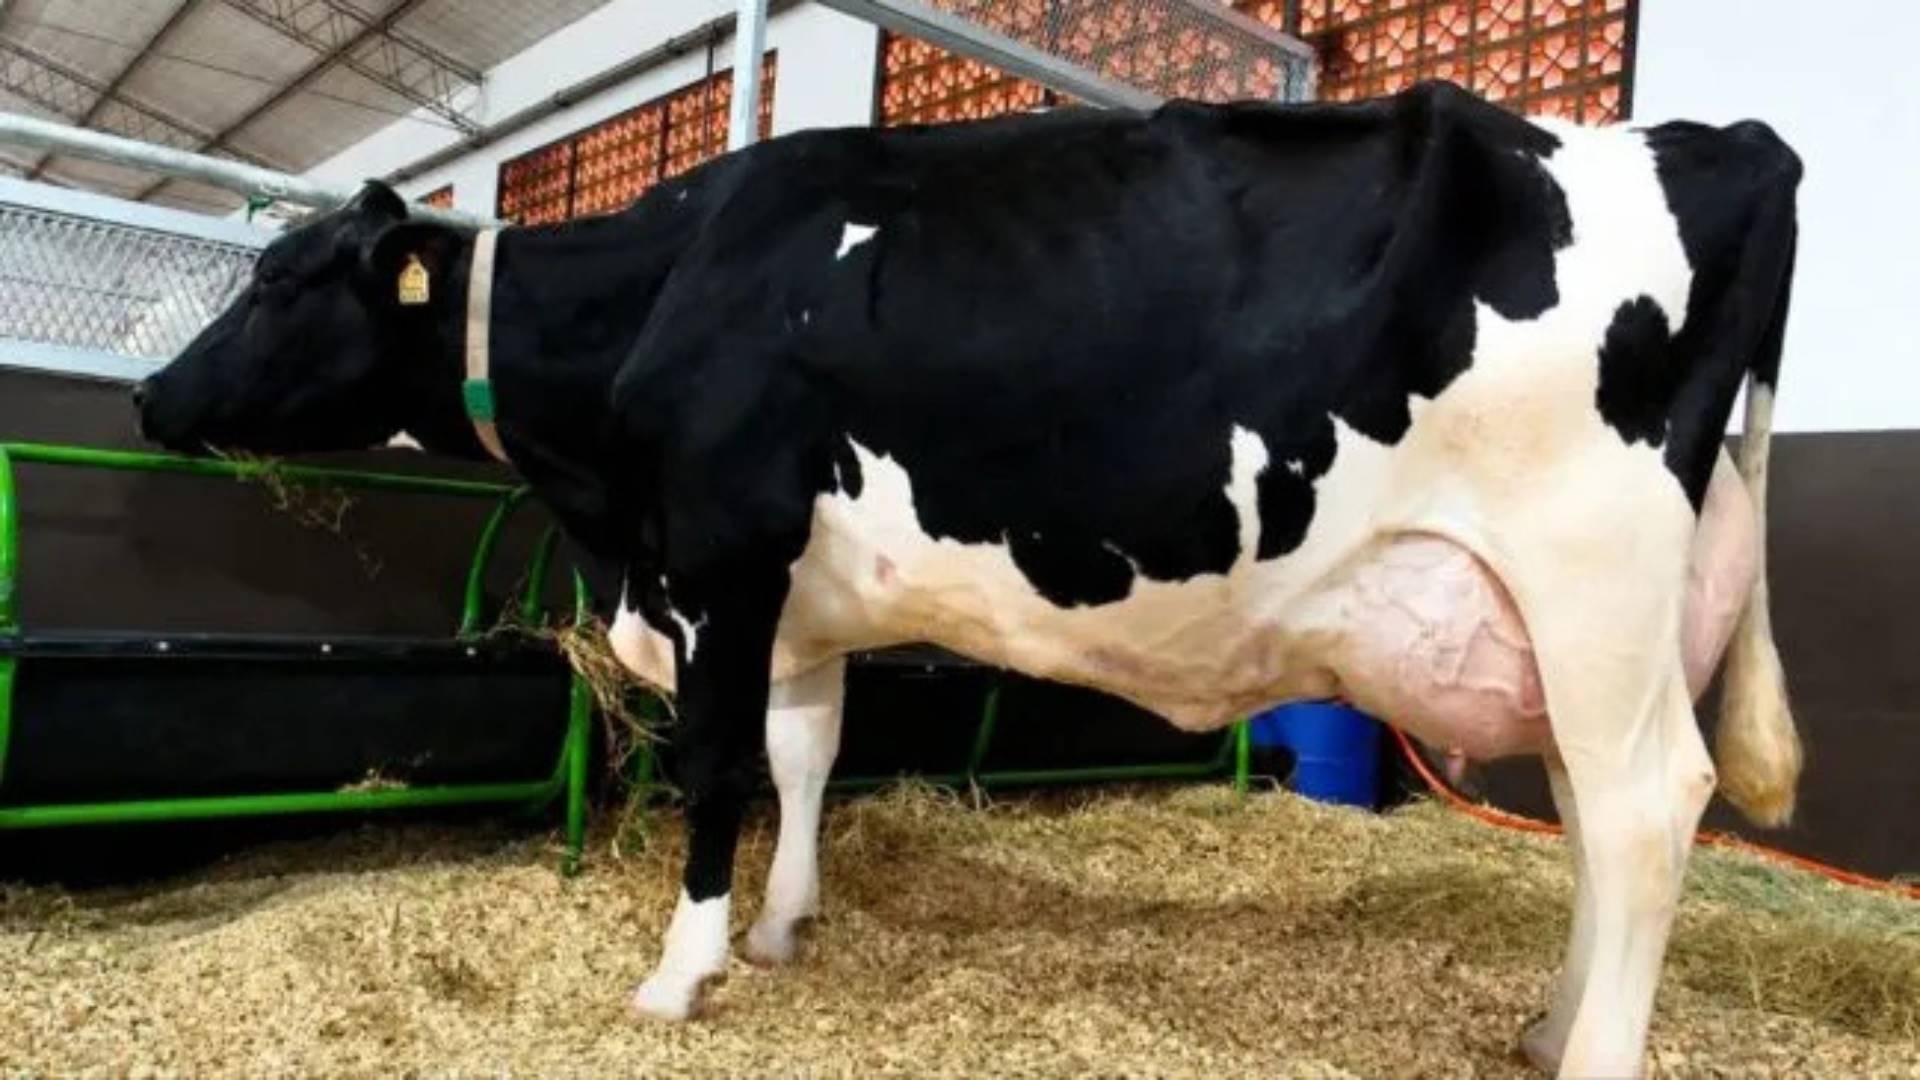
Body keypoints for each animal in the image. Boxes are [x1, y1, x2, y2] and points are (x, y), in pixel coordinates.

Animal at [134, 81, 1804, 1077]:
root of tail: (1721, 138)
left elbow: (719, 768)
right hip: (1587, 622)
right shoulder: (798, 594)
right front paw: (784, 931)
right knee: (1593, 813)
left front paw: (681, 975)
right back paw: (1547, 1023)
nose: (150, 399)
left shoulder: (720, 556)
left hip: (1591, 576)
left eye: (274, 282)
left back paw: (1593, 1056)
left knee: (1645, 807)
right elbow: (809, 754)